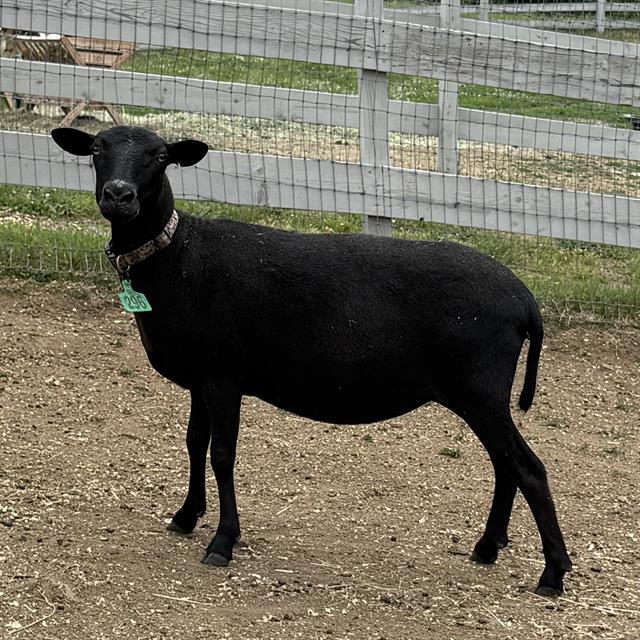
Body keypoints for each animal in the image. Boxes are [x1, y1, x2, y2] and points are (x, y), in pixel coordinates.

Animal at [51, 125, 571, 596]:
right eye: (96, 149)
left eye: (160, 156)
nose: (119, 196)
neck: (177, 258)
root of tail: (525, 300)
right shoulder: (202, 376)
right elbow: (194, 443)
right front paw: (185, 516)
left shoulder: (223, 375)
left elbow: (222, 454)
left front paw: (222, 542)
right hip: (480, 394)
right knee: (505, 464)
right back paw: (487, 547)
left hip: (480, 388)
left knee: (528, 468)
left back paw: (553, 573)